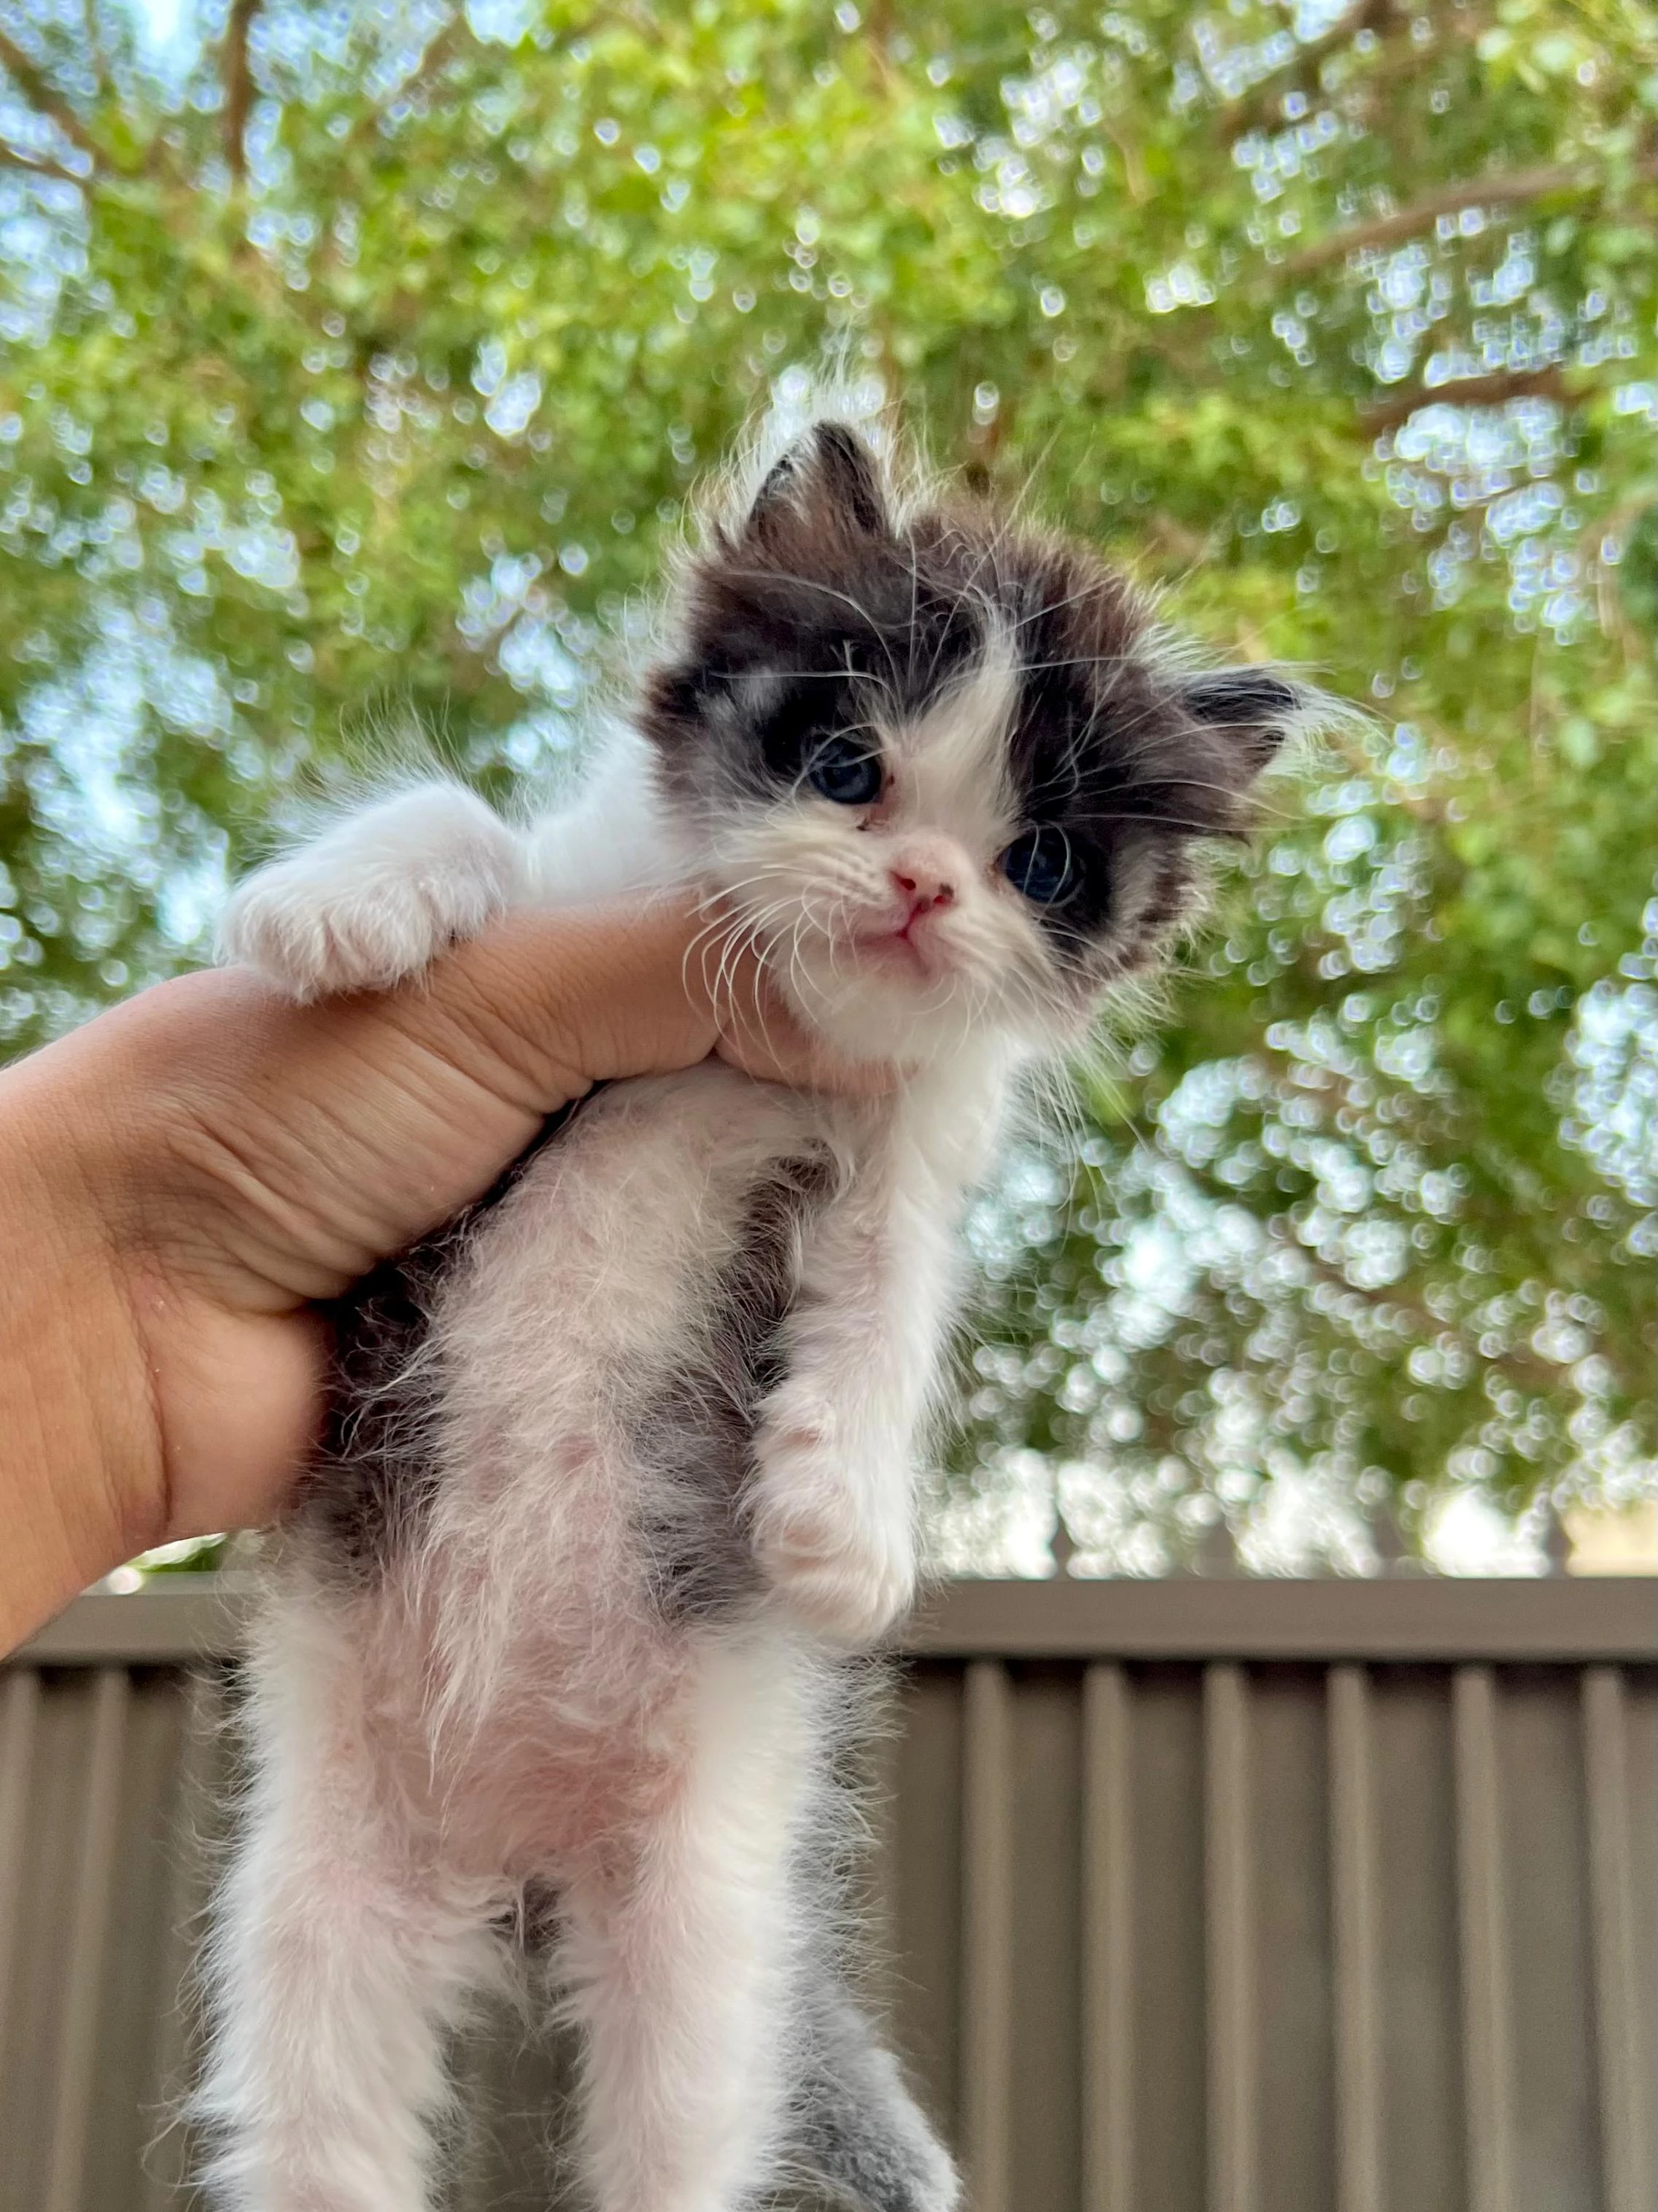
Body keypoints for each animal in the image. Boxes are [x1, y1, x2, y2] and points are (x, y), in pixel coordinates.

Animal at [198, 416, 1309, 2212]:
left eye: (1039, 861)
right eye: (844, 767)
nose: (919, 887)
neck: (737, 1050)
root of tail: (517, 1838)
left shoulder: (908, 1154)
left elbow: (892, 1304)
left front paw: (840, 1527)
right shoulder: (578, 906)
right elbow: (467, 821)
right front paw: (333, 908)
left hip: (705, 1922)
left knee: (683, 2129)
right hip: (308, 1900)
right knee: (320, 2125)